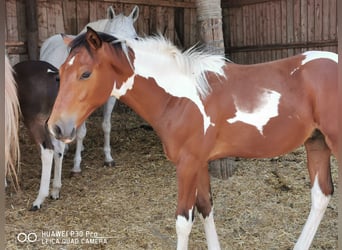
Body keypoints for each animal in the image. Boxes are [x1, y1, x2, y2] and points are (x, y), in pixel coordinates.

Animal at [41, 5, 139, 174]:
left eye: (135, 38)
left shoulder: (110, 99)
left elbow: (106, 126)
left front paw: (108, 158)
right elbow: (81, 133)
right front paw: (76, 165)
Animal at [48, 28, 340, 249]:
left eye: (86, 73)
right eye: (59, 74)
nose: (57, 127)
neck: (180, 97)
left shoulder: (187, 164)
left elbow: (183, 221)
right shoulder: (199, 162)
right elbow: (205, 207)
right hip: (317, 143)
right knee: (321, 196)